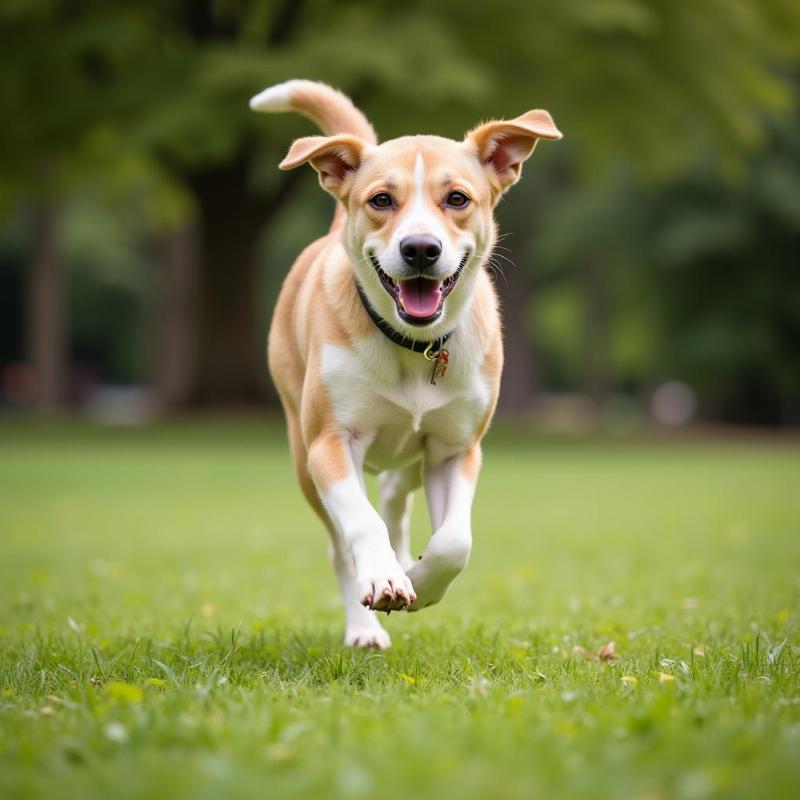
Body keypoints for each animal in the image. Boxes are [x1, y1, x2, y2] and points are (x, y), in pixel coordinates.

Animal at [250, 78, 564, 648]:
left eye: (457, 198)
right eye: (381, 200)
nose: (420, 248)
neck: (416, 346)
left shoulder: (455, 447)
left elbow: (455, 541)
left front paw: (418, 576)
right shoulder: (330, 442)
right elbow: (361, 522)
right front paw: (384, 578)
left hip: (409, 457)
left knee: (396, 497)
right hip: (302, 453)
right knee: (344, 542)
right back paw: (365, 625)